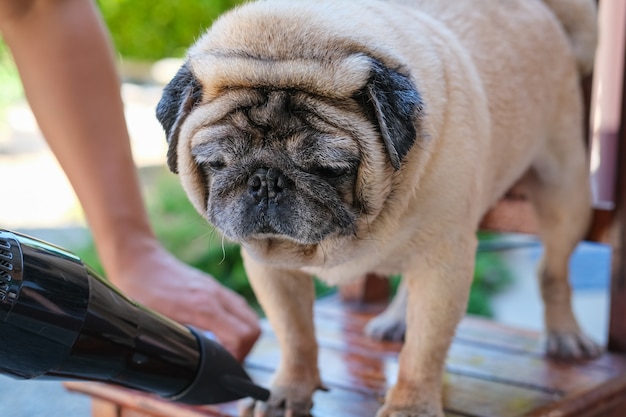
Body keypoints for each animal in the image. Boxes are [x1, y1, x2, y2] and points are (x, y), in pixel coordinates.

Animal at [155, 0, 596, 416]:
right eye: (217, 163)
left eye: (329, 168)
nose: (266, 181)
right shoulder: (273, 269)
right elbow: (295, 334)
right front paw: (289, 391)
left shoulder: (444, 261)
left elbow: (424, 349)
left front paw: (411, 406)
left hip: (563, 192)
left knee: (553, 270)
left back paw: (565, 334)